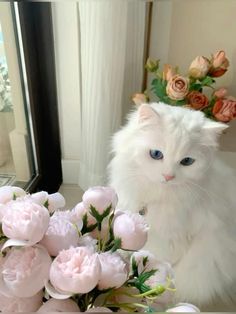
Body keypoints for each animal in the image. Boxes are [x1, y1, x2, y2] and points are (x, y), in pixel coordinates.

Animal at [108, 102, 236, 308]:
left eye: (187, 161)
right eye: (156, 154)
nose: (168, 176)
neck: (158, 195)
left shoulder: (171, 242)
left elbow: (153, 271)